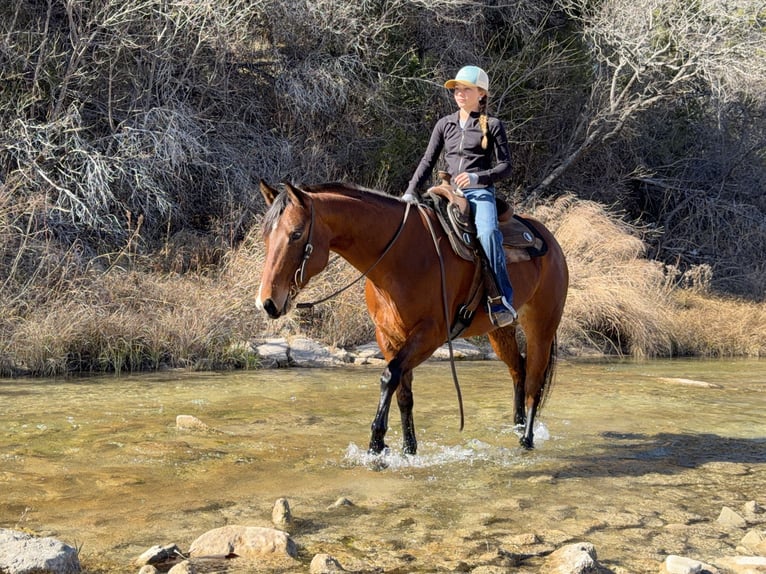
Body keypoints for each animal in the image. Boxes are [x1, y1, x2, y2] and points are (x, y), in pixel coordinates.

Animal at [256, 180, 569, 452]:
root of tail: (549, 239)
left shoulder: (430, 335)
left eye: (296, 234)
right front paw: (408, 449)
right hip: (499, 331)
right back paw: (517, 427)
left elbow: (389, 377)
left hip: (541, 327)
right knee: (518, 369)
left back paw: (526, 440)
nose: (267, 302)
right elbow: (403, 393)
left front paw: (377, 445)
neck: (397, 257)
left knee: (534, 380)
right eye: (266, 236)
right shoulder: (388, 336)